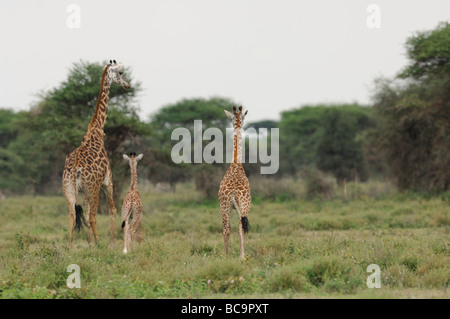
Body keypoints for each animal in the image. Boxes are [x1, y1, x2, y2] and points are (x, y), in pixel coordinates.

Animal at [61, 60, 130, 250]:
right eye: (121, 72)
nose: (128, 85)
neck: (97, 130)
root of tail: (75, 169)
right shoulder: (108, 181)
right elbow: (112, 210)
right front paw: (111, 243)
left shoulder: (84, 190)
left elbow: (83, 213)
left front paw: (89, 243)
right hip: (94, 188)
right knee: (93, 215)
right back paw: (100, 243)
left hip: (69, 188)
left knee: (72, 214)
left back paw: (70, 247)